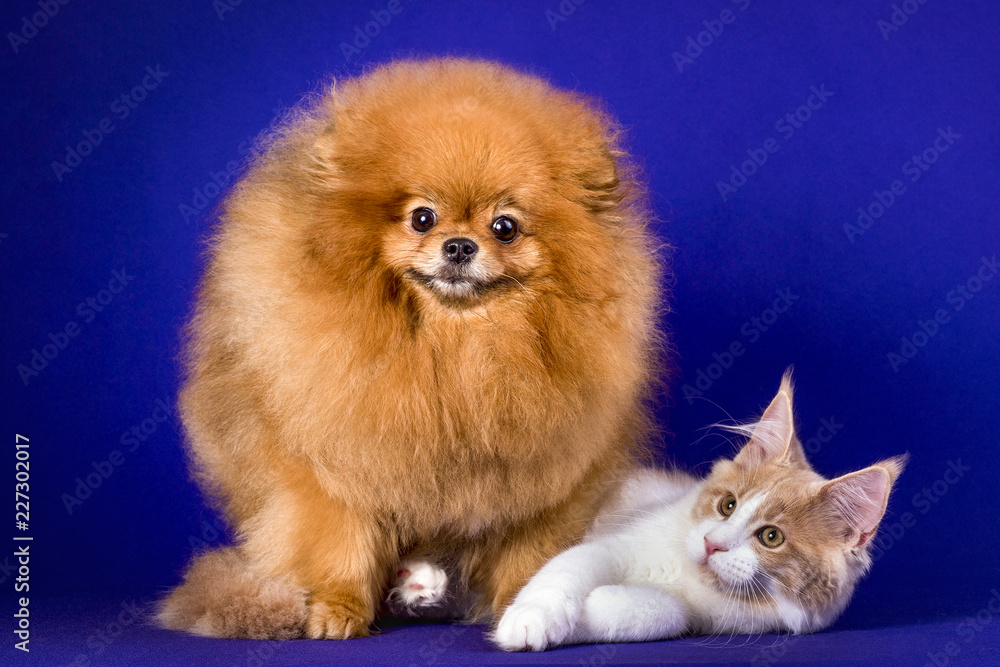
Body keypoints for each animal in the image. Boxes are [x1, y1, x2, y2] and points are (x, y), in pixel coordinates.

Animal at [158, 60, 664, 640]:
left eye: (505, 227)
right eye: (422, 218)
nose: (460, 246)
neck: (456, 348)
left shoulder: (545, 481)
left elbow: (530, 553)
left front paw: (523, 604)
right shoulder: (331, 468)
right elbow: (340, 543)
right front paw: (337, 609)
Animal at [390, 374, 908, 656]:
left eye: (771, 537)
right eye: (728, 505)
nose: (712, 544)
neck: (685, 577)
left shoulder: (701, 617)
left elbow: (660, 612)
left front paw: (577, 611)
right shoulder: (606, 544)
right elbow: (560, 575)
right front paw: (529, 620)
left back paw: (420, 584)